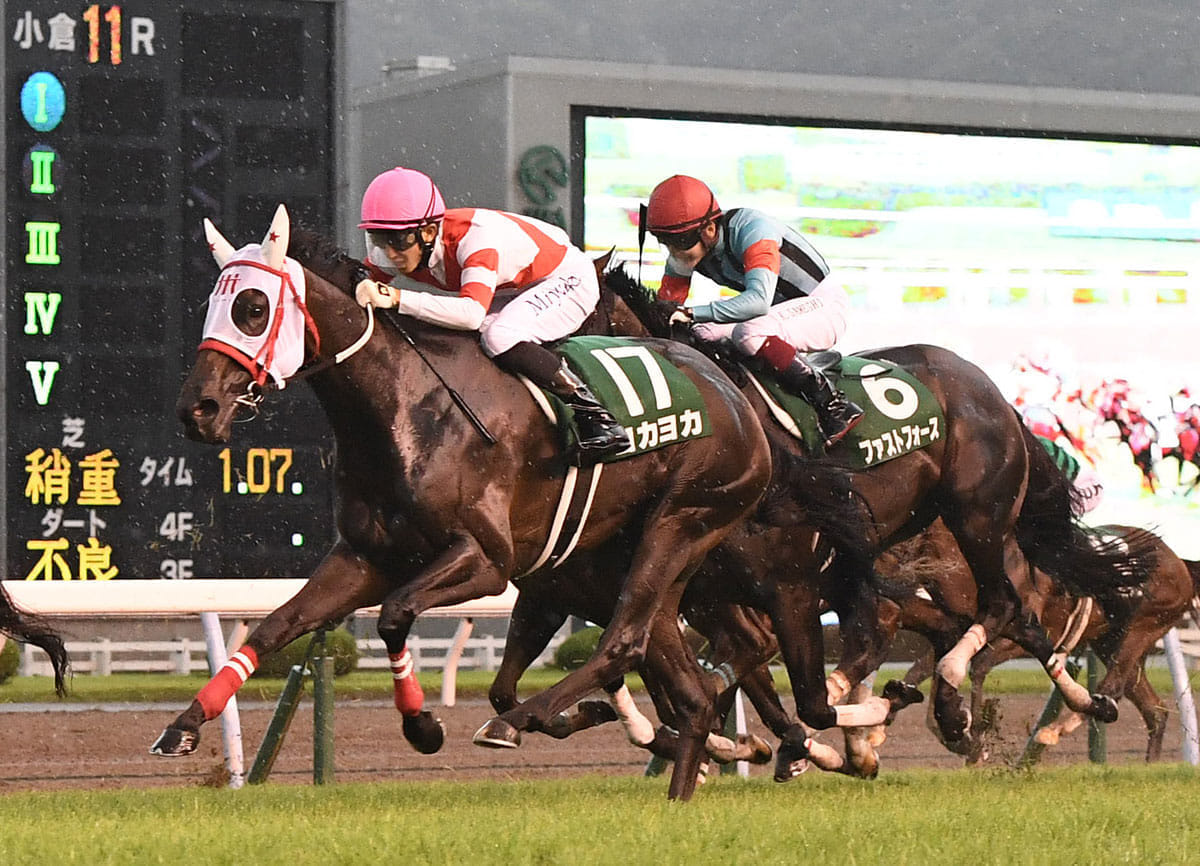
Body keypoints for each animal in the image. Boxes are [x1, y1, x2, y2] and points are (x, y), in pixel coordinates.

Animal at [152, 206, 768, 801]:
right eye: (212, 306)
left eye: (253, 308)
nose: (197, 409)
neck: (404, 407)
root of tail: (731, 393)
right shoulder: (366, 558)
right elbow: (274, 627)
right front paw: (183, 725)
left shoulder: (486, 560)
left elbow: (396, 614)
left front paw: (423, 726)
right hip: (628, 558)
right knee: (685, 688)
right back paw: (682, 785)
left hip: (682, 521)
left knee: (624, 641)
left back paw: (522, 722)